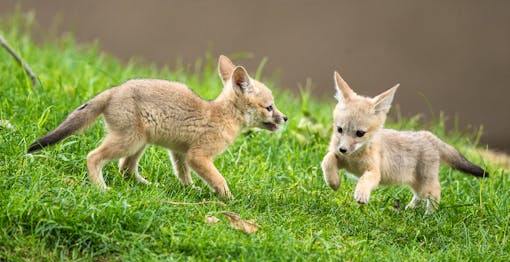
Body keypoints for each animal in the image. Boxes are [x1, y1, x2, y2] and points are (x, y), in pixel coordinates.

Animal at [27, 55, 286, 199]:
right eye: (269, 107)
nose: (285, 118)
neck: (220, 114)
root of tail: (114, 90)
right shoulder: (198, 155)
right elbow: (219, 179)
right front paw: (228, 198)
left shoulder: (180, 152)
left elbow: (183, 175)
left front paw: (189, 190)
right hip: (129, 141)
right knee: (93, 157)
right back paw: (101, 188)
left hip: (139, 144)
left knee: (125, 169)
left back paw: (146, 185)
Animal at [320, 71, 488, 213]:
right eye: (339, 129)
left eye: (360, 133)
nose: (343, 149)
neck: (353, 158)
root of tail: (427, 135)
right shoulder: (340, 158)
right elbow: (327, 160)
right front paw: (333, 182)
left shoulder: (374, 171)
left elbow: (365, 180)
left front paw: (361, 194)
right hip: (415, 183)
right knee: (420, 197)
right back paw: (409, 209)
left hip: (425, 184)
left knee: (435, 193)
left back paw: (429, 216)